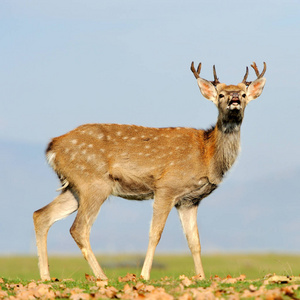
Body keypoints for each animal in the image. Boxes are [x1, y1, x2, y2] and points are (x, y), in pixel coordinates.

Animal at [33, 61, 268, 282]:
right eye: (220, 94)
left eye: (244, 94)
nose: (234, 99)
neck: (207, 155)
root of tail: (52, 147)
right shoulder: (166, 187)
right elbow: (155, 233)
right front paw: (144, 275)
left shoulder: (190, 200)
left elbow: (194, 241)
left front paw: (201, 277)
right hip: (94, 183)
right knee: (79, 228)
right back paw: (101, 276)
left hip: (75, 187)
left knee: (41, 215)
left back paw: (46, 276)